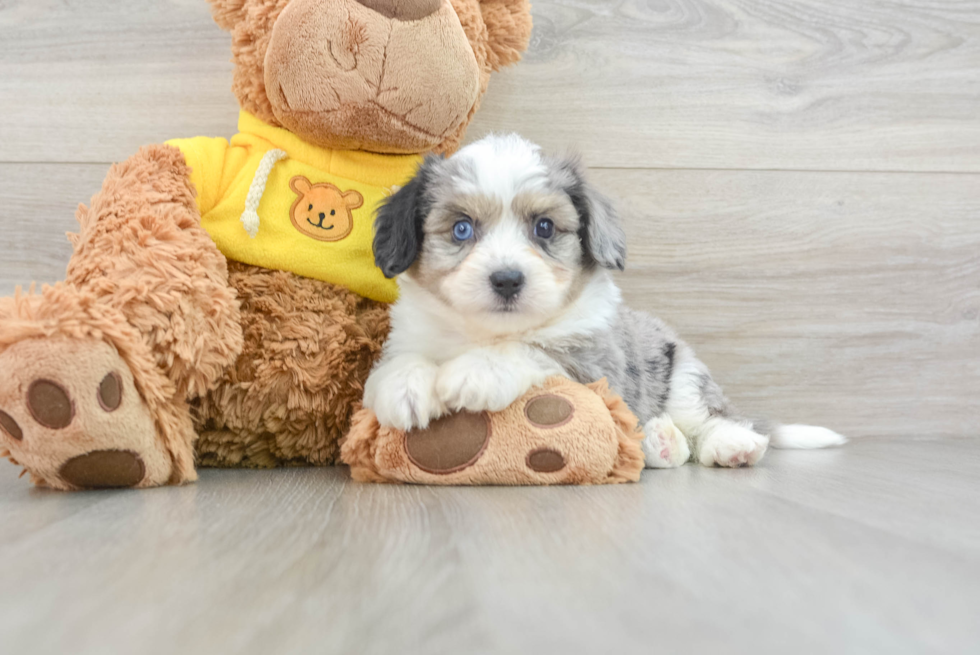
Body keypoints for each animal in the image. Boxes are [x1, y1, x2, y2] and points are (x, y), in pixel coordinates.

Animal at [364, 136, 848, 468]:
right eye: (461, 229)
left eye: (544, 227)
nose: (507, 280)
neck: (484, 332)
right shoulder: (410, 335)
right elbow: (399, 364)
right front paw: (404, 386)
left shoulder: (593, 367)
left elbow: (531, 349)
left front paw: (476, 372)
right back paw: (658, 442)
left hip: (683, 374)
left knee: (709, 420)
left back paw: (729, 444)